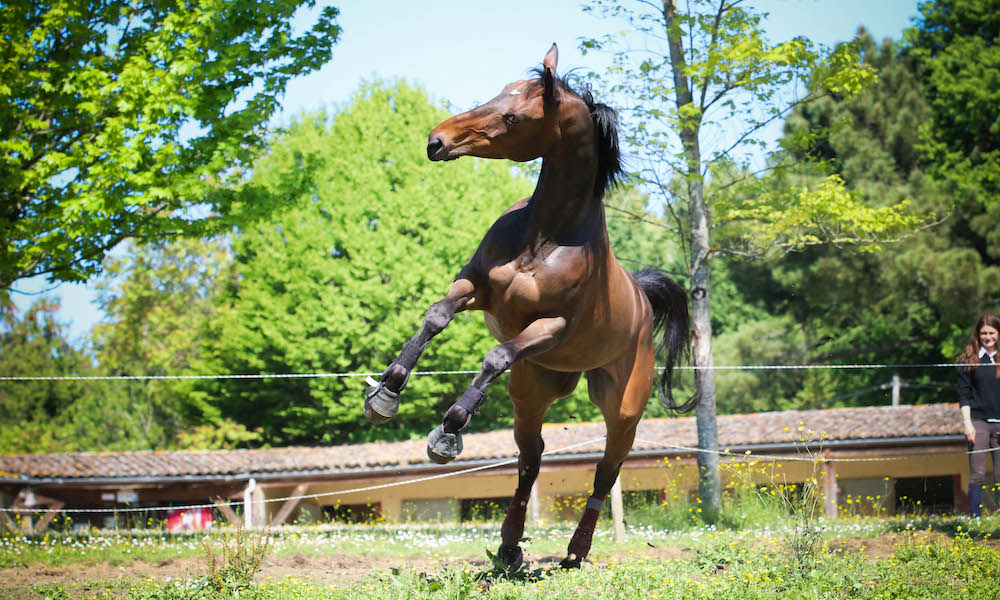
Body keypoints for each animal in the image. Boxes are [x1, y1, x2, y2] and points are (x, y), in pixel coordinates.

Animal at [363, 44, 697, 570]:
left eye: (513, 116)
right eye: (497, 94)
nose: (437, 141)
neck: (544, 237)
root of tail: (644, 299)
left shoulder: (551, 326)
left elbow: (494, 355)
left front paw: (449, 430)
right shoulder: (475, 286)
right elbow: (437, 315)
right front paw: (386, 393)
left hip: (622, 409)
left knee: (605, 471)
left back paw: (575, 551)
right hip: (532, 393)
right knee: (530, 460)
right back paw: (509, 545)